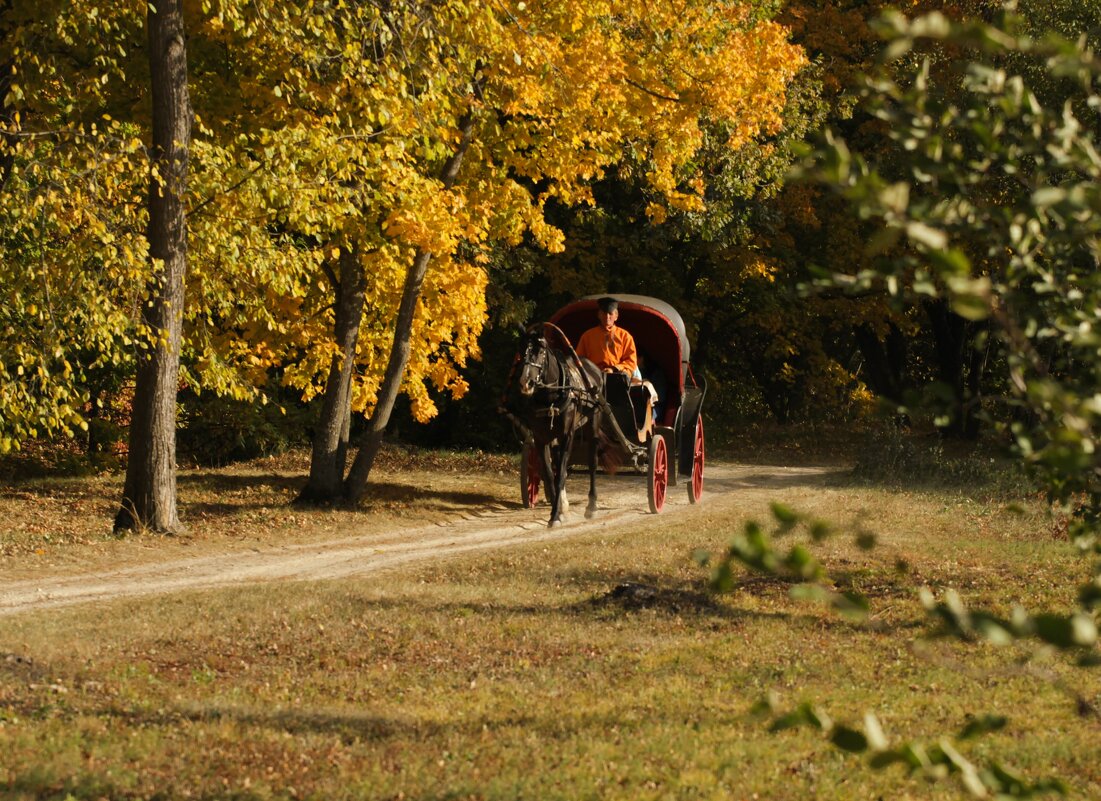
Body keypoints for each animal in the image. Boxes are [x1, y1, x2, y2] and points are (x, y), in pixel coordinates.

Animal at [513, 323, 607, 525]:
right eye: (521, 350)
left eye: (540, 351)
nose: (526, 382)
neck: (551, 396)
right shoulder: (540, 439)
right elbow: (550, 475)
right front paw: (558, 511)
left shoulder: (566, 436)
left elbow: (560, 474)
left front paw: (556, 514)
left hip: (593, 426)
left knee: (592, 463)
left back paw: (592, 506)